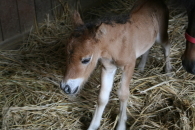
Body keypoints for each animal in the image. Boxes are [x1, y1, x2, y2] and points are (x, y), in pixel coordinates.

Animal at [60, 0, 171, 129]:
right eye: (65, 53)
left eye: (86, 60)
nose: (65, 87)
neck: (116, 46)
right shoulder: (107, 68)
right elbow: (102, 97)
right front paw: (93, 125)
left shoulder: (129, 65)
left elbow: (123, 94)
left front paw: (121, 125)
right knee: (147, 47)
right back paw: (141, 67)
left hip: (161, 34)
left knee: (166, 44)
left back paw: (168, 71)